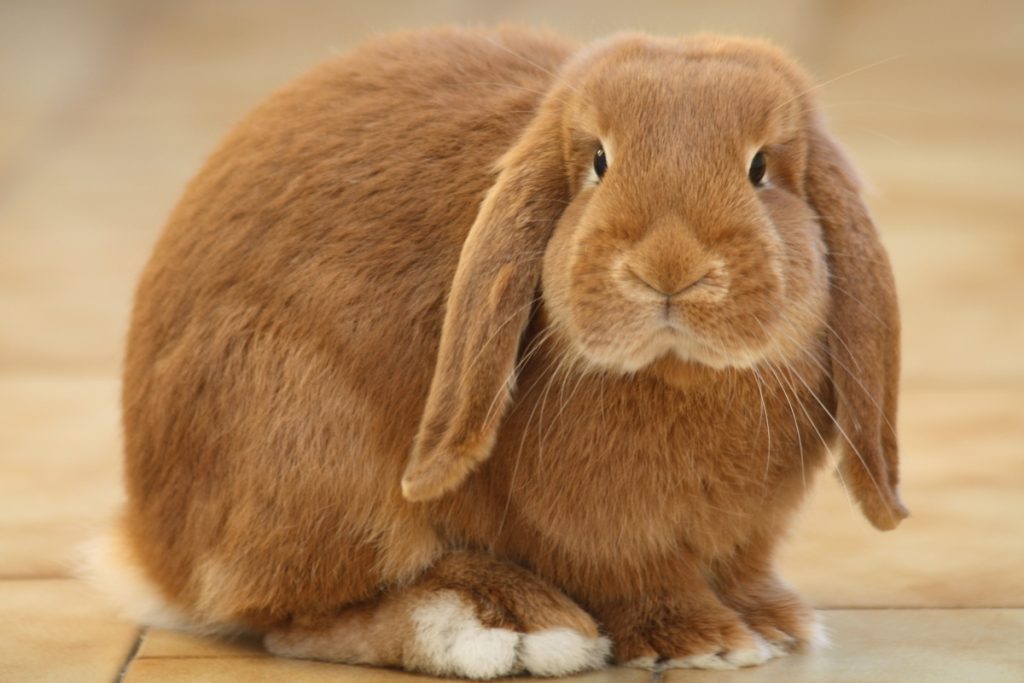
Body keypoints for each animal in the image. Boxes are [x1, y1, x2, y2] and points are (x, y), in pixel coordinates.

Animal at [88, 25, 908, 677]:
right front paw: (706, 641)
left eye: (760, 168)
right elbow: (643, 578)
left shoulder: (750, 532)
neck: (679, 373)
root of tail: (152, 547)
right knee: (294, 620)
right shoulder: (597, 533)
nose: (667, 267)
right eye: (599, 161)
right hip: (310, 447)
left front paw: (777, 624)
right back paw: (506, 623)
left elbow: (742, 566)